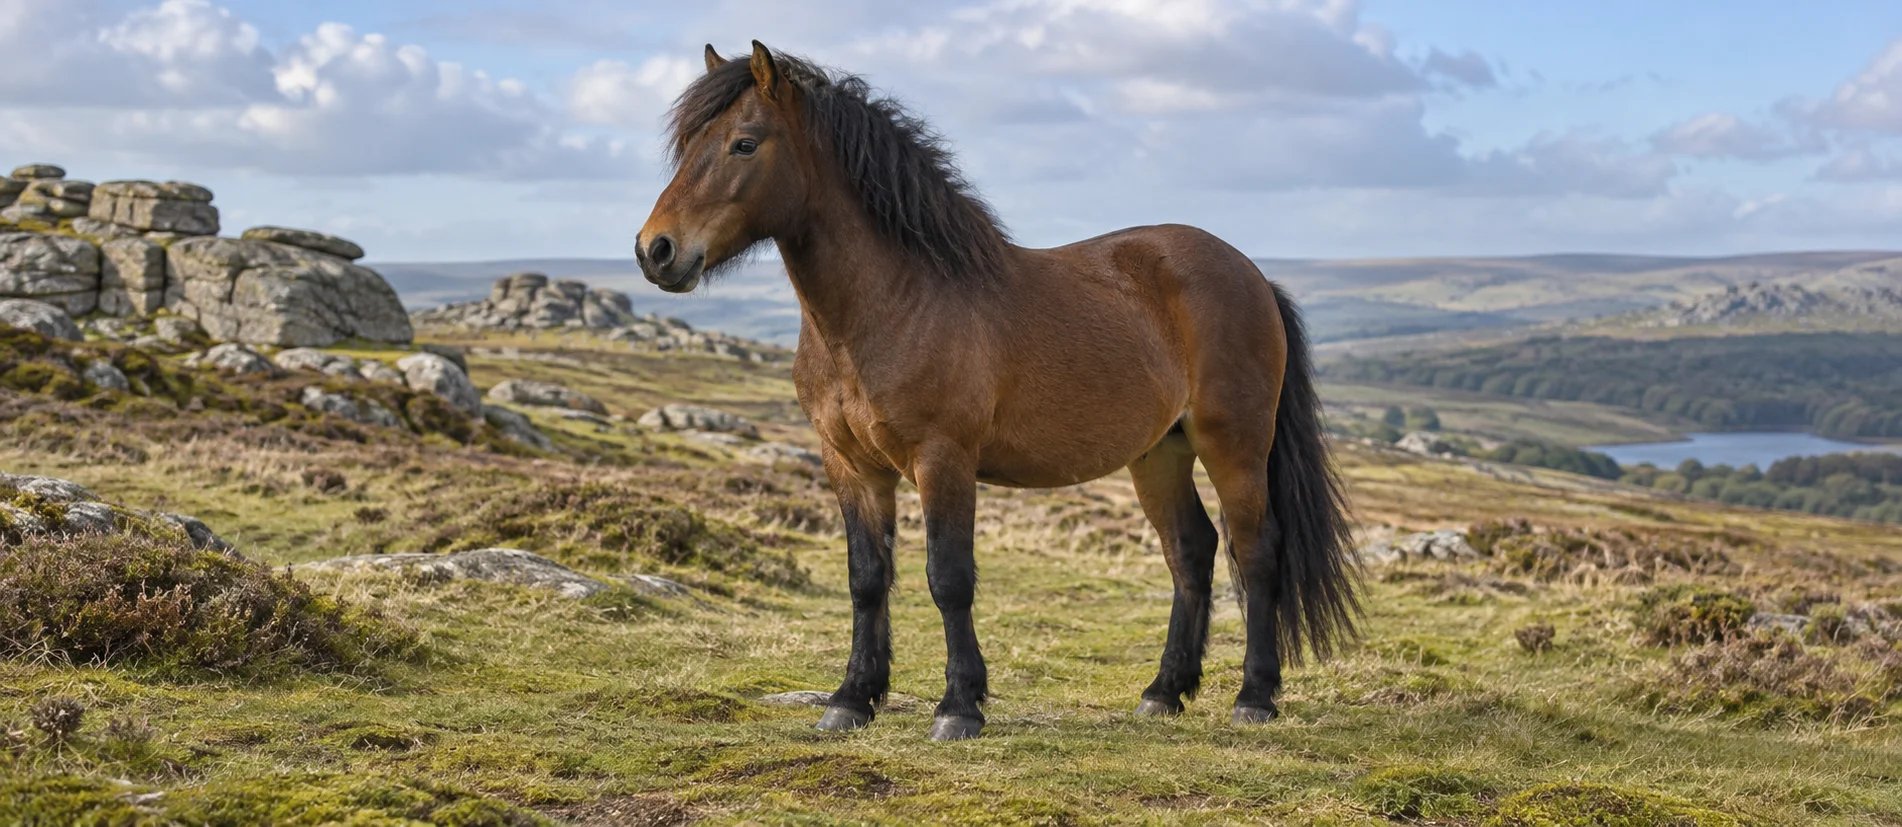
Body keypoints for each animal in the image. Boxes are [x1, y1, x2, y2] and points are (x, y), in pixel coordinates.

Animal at [636, 42, 1359, 741]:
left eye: (744, 143)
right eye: (688, 144)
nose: (655, 250)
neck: (893, 303)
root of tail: (1252, 275)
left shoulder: (943, 459)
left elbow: (949, 579)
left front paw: (959, 707)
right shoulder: (850, 465)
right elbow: (866, 579)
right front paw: (851, 699)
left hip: (1234, 444)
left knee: (1255, 552)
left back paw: (1254, 698)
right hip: (1159, 453)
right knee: (1191, 551)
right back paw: (1163, 692)